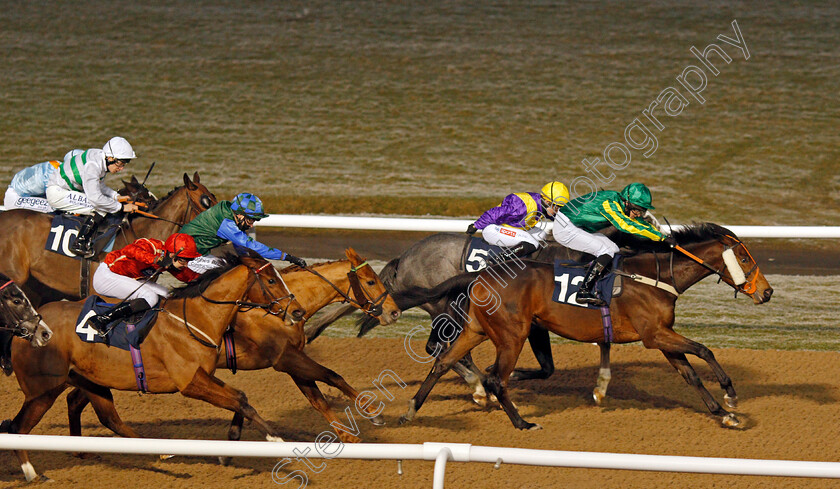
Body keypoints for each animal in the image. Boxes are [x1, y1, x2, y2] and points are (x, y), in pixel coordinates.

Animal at [3, 255, 306, 480]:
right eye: (271, 280)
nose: (298, 311)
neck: (195, 318)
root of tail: (30, 328)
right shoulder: (190, 383)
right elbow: (240, 402)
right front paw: (277, 442)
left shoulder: (203, 376)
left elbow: (240, 398)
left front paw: (227, 449)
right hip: (42, 390)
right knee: (17, 427)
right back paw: (31, 473)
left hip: (91, 380)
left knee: (108, 418)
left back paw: (154, 451)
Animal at [398, 223, 776, 428]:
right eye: (744, 258)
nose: (768, 292)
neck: (656, 276)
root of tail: (482, 275)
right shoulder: (655, 335)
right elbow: (704, 350)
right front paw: (730, 396)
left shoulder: (661, 337)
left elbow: (691, 374)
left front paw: (722, 413)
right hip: (512, 335)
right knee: (494, 377)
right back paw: (521, 422)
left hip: (477, 329)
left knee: (442, 362)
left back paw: (412, 411)